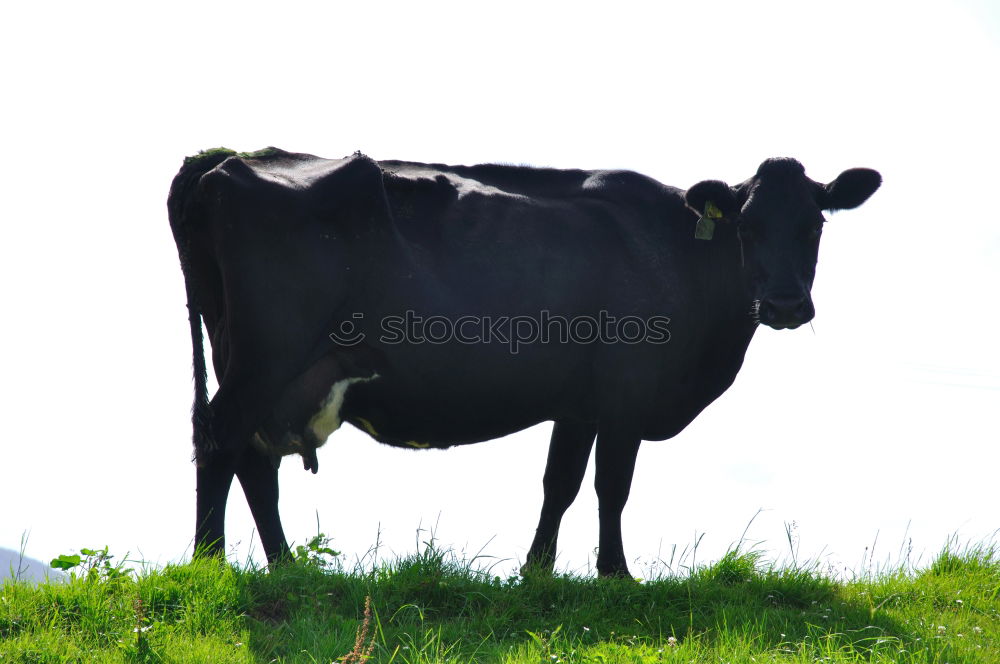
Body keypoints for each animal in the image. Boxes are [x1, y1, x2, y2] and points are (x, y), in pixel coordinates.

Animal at [168, 149, 880, 576]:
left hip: (260, 365)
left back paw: (285, 566)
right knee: (223, 439)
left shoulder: (580, 402)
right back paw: (209, 563)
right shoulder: (628, 394)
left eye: (815, 224)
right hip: (265, 358)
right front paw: (616, 574)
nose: (785, 302)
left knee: (252, 460)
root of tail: (223, 162)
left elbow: (559, 483)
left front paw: (537, 571)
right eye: (746, 227)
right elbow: (612, 485)